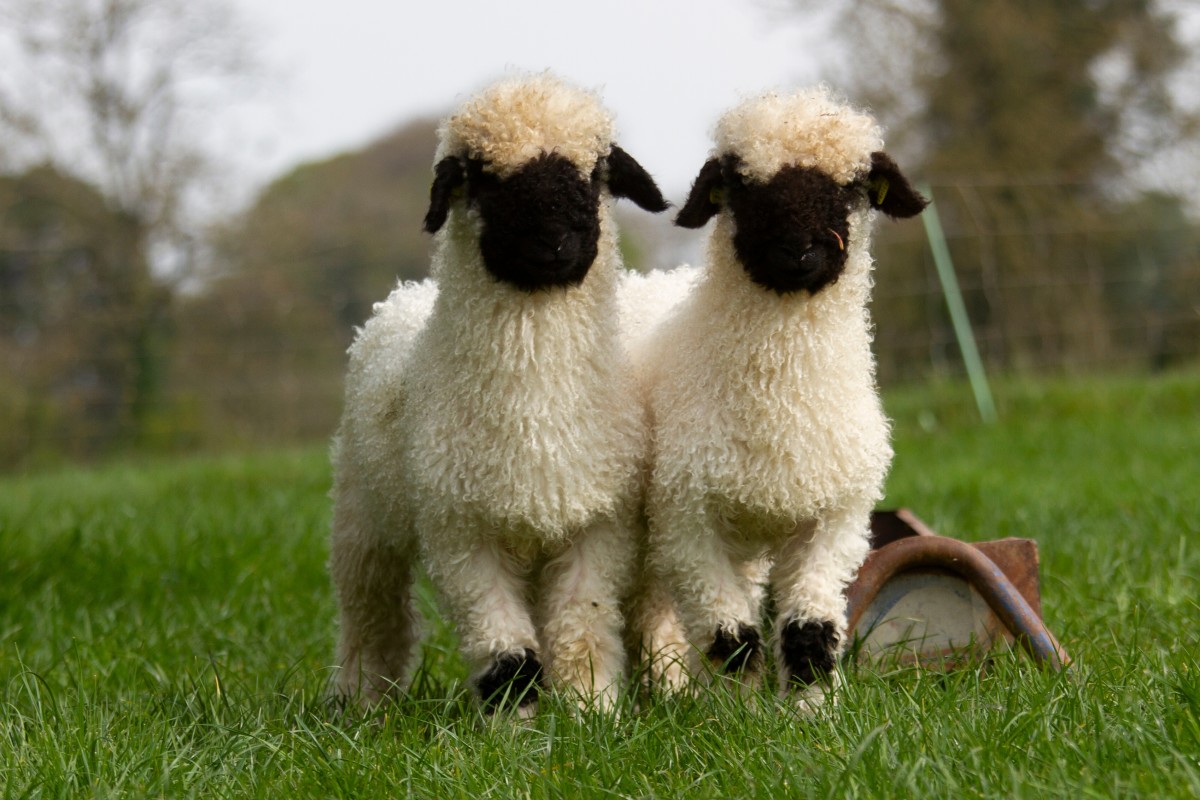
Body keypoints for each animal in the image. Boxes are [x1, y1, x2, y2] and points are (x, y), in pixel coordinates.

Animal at [328, 73, 669, 714]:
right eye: (483, 176)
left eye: (595, 172)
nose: (555, 241)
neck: (533, 410)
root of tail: (403, 297)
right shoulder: (463, 532)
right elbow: (505, 649)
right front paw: (517, 723)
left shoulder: (596, 523)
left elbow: (582, 627)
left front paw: (592, 711)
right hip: (363, 514)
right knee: (370, 615)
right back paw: (359, 704)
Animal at [637, 86, 927, 708]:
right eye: (741, 184)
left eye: (852, 186)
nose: (797, 250)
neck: (780, 405)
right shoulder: (686, 519)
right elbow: (730, 635)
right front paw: (737, 713)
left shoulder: (837, 517)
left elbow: (808, 628)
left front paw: (812, 710)